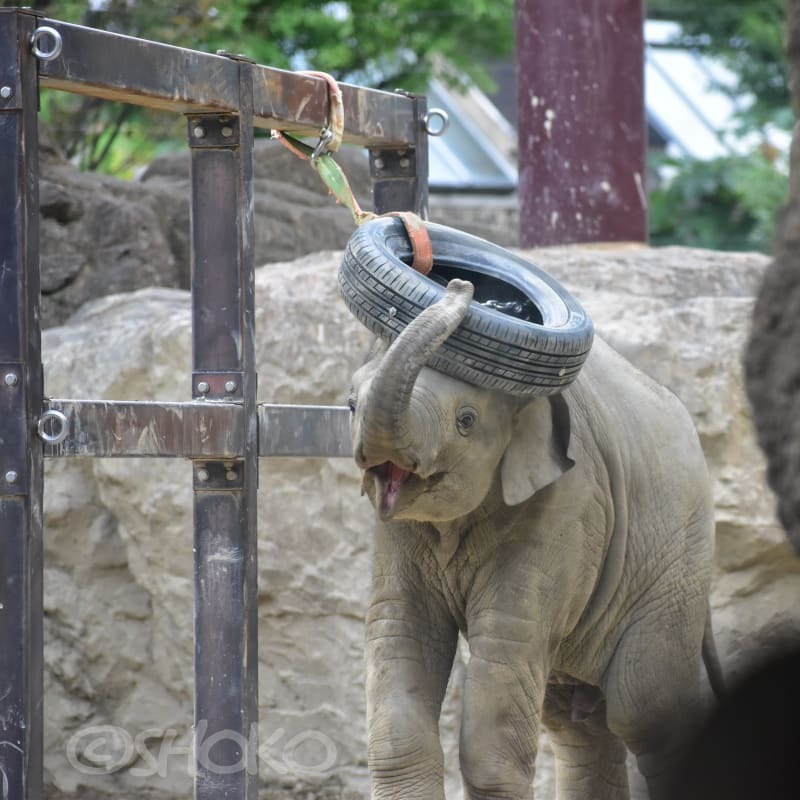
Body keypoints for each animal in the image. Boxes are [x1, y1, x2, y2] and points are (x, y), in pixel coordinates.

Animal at [347, 278, 724, 800]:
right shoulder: (396, 528)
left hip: (674, 567)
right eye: (349, 405)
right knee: (578, 726)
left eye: (466, 421)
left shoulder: (570, 500)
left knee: (648, 707)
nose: (461, 286)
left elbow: (504, 658)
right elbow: (401, 634)